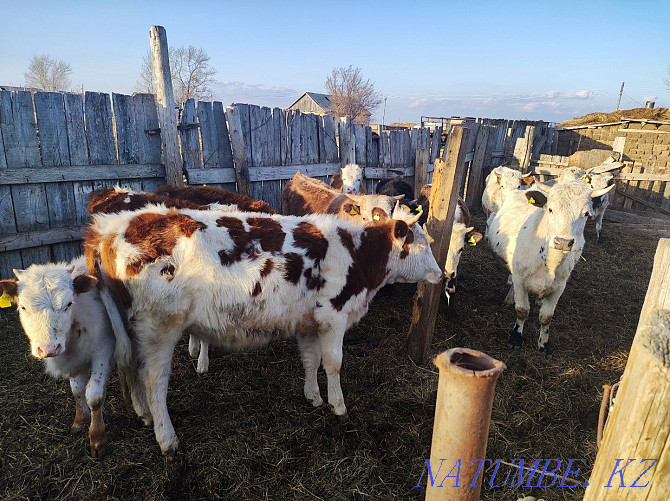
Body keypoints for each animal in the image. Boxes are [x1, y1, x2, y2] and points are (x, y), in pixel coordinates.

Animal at [0, 258, 133, 458]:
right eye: (23, 306)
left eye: (69, 304)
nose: (48, 348)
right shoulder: (74, 360)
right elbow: (77, 390)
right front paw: (80, 420)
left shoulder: (103, 352)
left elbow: (94, 396)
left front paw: (97, 438)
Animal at [486, 180, 616, 356]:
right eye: (550, 209)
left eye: (586, 214)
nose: (563, 241)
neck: (549, 264)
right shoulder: (520, 280)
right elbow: (521, 310)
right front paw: (515, 338)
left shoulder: (559, 287)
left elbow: (546, 317)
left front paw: (544, 344)